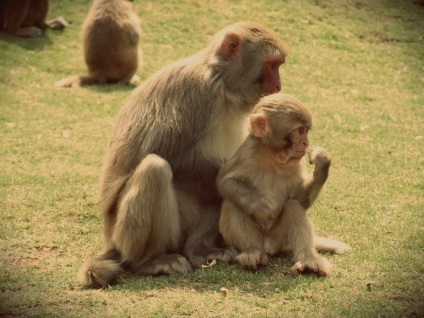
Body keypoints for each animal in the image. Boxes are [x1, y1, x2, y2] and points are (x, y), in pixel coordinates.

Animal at [80, 21, 288, 286]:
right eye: (272, 65)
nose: (278, 86)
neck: (221, 86)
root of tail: (109, 240)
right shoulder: (195, 94)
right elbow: (171, 155)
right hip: (123, 235)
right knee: (156, 169)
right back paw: (150, 260)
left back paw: (200, 249)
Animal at [217, 92, 350, 276]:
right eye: (300, 131)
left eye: (306, 131)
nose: (306, 143)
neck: (273, 156)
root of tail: (267, 246)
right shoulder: (247, 151)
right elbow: (225, 181)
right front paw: (262, 205)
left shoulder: (297, 162)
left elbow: (300, 200)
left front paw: (322, 163)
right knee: (233, 203)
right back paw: (252, 252)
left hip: (279, 240)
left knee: (293, 206)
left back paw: (308, 259)